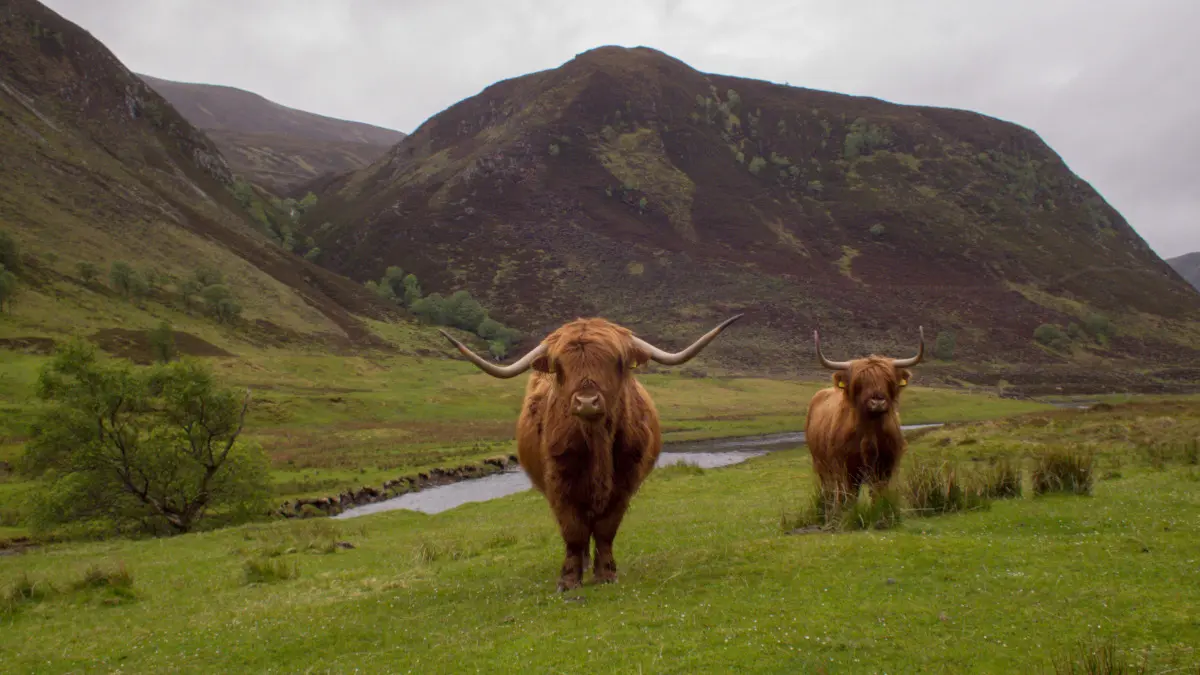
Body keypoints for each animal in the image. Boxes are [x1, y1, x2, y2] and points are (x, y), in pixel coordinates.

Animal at [439, 315, 742, 591]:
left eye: (616, 361)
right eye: (560, 366)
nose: (586, 401)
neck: (597, 442)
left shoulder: (624, 484)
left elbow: (606, 529)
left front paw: (606, 573)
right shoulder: (559, 483)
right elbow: (573, 531)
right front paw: (569, 581)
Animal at [803, 327, 925, 504]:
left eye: (888, 380)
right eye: (860, 382)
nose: (877, 401)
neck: (870, 432)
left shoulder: (885, 468)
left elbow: (878, 496)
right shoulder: (846, 469)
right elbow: (849, 497)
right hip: (822, 466)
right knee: (830, 490)